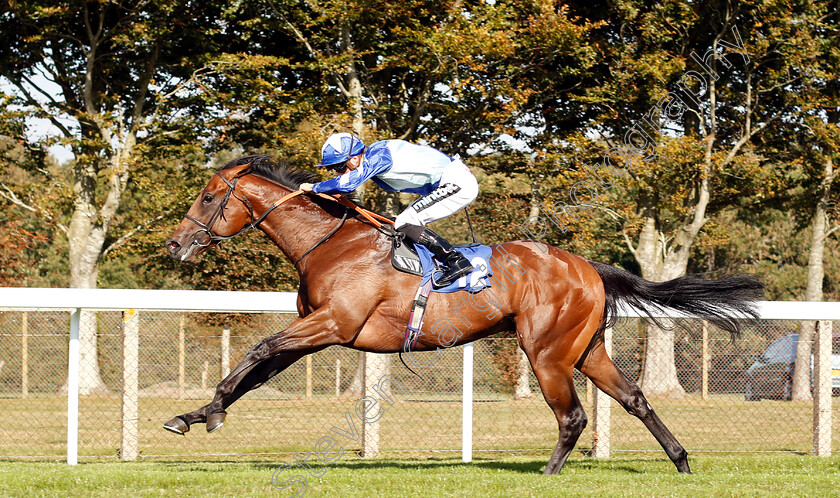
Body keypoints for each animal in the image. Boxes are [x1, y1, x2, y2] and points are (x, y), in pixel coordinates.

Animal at [162, 156, 760, 474]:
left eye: (209, 197)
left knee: (572, 417)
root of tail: (587, 266)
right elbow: (257, 371)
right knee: (635, 399)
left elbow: (259, 349)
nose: (175, 245)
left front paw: (204, 413)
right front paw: (197, 413)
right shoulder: (318, 332)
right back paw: (681, 461)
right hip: (586, 349)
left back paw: (548, 473)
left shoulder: (333, 324)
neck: (331, 244)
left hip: (546, 352)